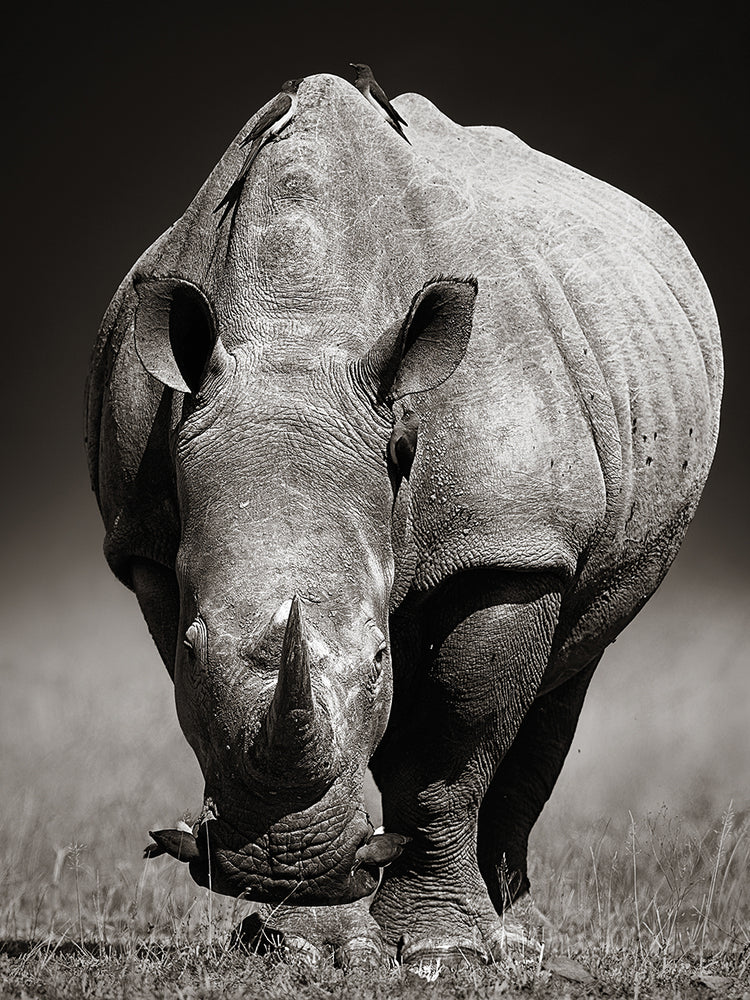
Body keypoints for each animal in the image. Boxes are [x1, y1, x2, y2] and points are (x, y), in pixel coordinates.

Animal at [85, 73, 722, 966]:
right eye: (192, 644)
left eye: (380, 656)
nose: (285, 862)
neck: (298, 335)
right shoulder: (145, 544)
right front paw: (303, 941)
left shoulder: (506, 546)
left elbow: (446, 753)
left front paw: (439, 952)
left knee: (570, 667)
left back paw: (508, 929)